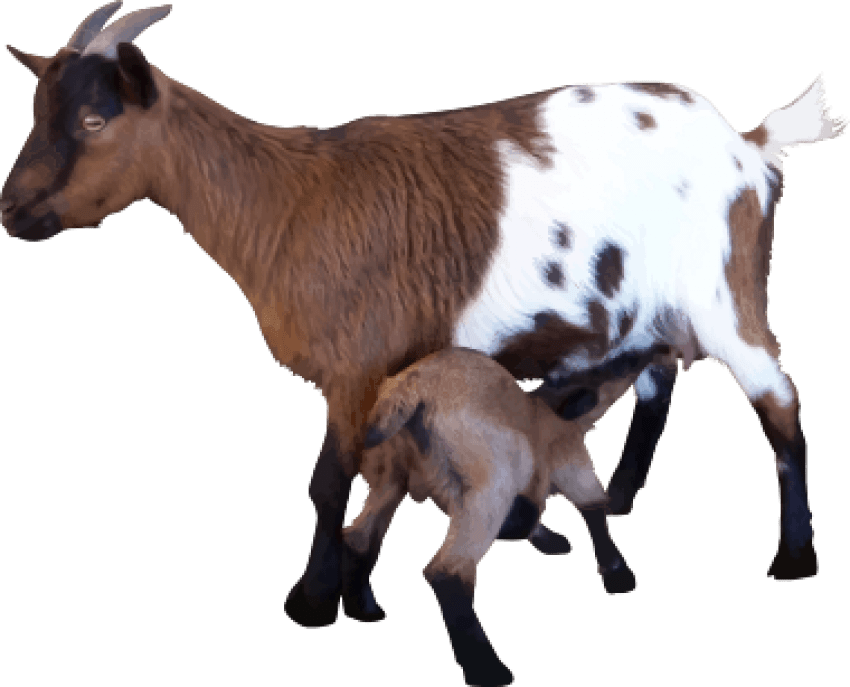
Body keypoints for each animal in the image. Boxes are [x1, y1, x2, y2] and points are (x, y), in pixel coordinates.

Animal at [1, 1, 846, 635]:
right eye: (39, 110)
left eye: (93, 121)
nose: (10, 210)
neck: (285, 206)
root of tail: (747, 143)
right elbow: (378, 477)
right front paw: (357, 592)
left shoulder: (357, 365)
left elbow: (327, 482)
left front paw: (312, 601)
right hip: (650, 304)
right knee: (659, 376)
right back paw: (621, 497)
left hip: (727, 289)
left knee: (777, 398)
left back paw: (794, 556)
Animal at [347, 346, 670, 686]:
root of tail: (411, 390)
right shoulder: (572, 463)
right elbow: (594, 507)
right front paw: (619, 575)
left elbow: (532, 512)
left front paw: (545, 538)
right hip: (492, 480)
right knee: (446, 570)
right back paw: (488, 669)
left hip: (387, 478)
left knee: (359, 536)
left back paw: (364, 608)